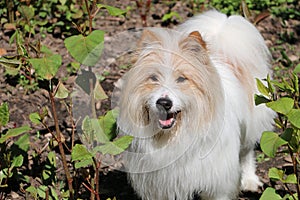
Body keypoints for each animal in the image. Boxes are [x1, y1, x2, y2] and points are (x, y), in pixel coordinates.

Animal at [116, 9, 276, 200]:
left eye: (181, 79)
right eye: (153, 78)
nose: (164, 102)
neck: (173, 136)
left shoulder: (217, 184)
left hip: (250, 127)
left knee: (247, 152)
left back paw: (250, 181)